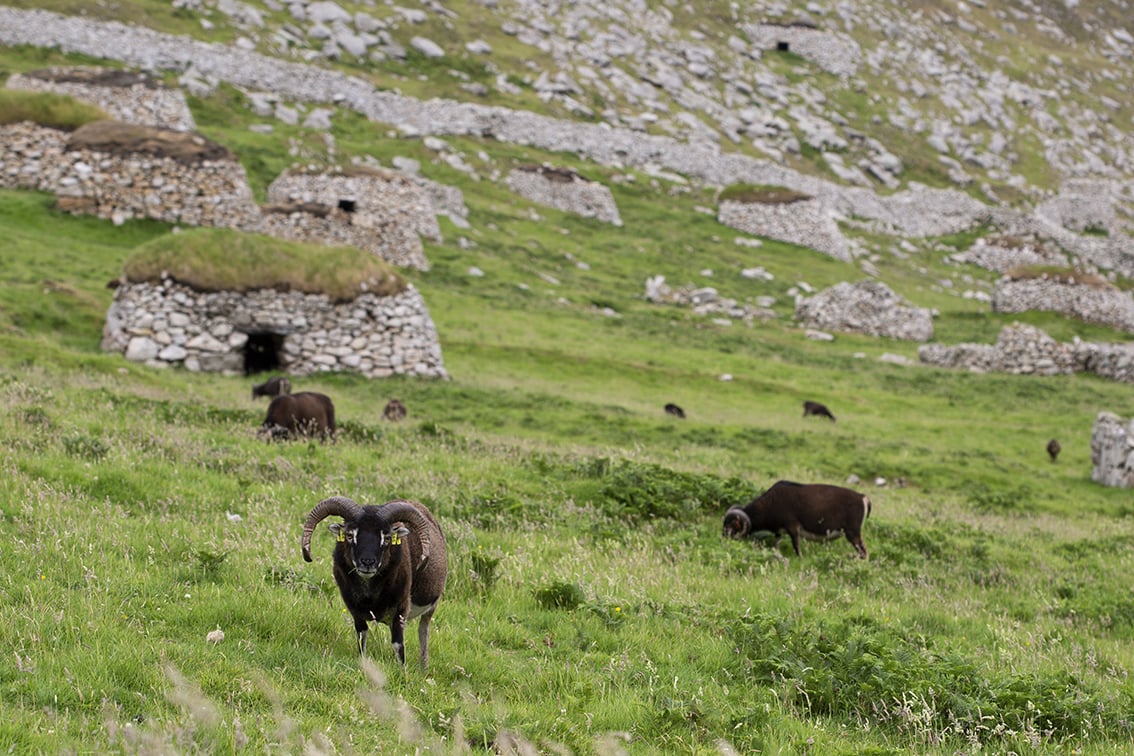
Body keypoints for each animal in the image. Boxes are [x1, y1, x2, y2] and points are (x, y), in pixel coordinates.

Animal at [301, 496, 446, 666]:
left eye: (387, 538)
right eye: (349, 535)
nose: (368, 562)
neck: (369, 596)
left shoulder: (400, 609)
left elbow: (398, 645)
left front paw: (402, 671)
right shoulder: (354, 609)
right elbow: (361, 637)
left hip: (431, 607)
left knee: (423, 631)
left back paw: (423, 667)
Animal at [721, 482, 870, 559]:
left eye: (732, 524)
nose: (722, 539)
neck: (771, 503)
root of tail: (862, 497)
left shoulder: (793, 527)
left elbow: (796, 546)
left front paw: (800, 559)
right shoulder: (779, 531)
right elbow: (777, 543)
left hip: (853, 533)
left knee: (864, 552)